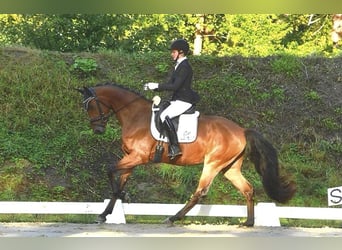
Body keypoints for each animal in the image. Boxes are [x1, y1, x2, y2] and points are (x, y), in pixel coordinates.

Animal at [77, 82, 294, 227]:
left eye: (91, 106)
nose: (98, 130)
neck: (135, 116)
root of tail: (241, 130)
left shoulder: (137, 157)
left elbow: (109, 170)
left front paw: (120, 199)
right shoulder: (131, 159)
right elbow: (119, 181)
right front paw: (105, 212)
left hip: (213, 164)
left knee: (200, 192)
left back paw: (173, 217)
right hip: (229, 168)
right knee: (248, 189)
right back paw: (248, 223)